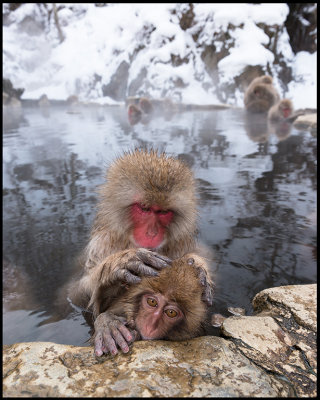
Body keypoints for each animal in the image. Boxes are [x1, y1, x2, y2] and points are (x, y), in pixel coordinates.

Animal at [69, 148, 215, 354]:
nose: (151, 233)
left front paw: (199, 266)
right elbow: (77, 297)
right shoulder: (102, 243)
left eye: (163, 212)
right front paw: (121, 264)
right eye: (145, 209)